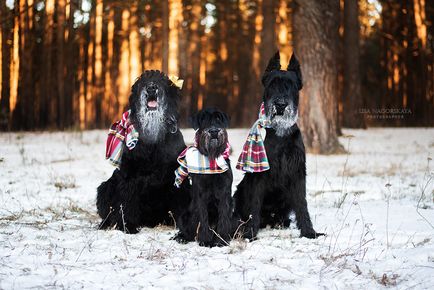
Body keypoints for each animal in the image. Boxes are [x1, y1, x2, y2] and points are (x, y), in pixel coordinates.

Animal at [96, 70, 190, 233]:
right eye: (142, 82)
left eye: (161, 81)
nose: (151, 88)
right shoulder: (129, 177)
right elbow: (126, 204)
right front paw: (127, 226)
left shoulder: (177, 177)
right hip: (105, 188)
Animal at [174, 109, 234, 247]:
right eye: (203, 120)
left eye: (218, 119)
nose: (214, 131)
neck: (212, 160)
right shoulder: (201, 195)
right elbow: (203, 217)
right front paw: (205, 240)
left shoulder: (224, 194)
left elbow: (223, 217)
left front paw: (220, 240)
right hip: (184, 215)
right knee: (186, 230)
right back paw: (182, 237)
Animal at [234, 51, 322, 240]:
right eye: (272, 84)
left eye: (291, 85)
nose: (281, 105)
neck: (280, 132)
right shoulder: (259, 175)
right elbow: (255, 204)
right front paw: (251, 232)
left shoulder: (297, 172)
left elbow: (302, 203)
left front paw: (309, 231)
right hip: (240, 190)